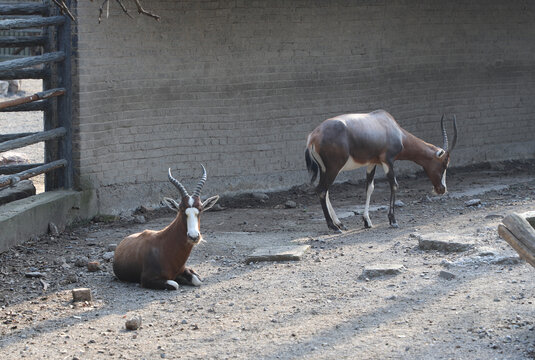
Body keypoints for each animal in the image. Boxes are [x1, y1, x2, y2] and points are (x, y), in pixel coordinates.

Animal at [308, 109, 458, 232]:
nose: (442, 189)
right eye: (444, 164)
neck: (391, 127)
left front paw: (367, 222)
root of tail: (313, 137)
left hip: (326, 169)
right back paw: (333, 227)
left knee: (325, 191)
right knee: (321, 190)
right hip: (334, 168)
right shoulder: (388, 161)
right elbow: (394, 185)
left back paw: (340, 224)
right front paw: (393, 221)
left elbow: (370, 188)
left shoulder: (372, 163)